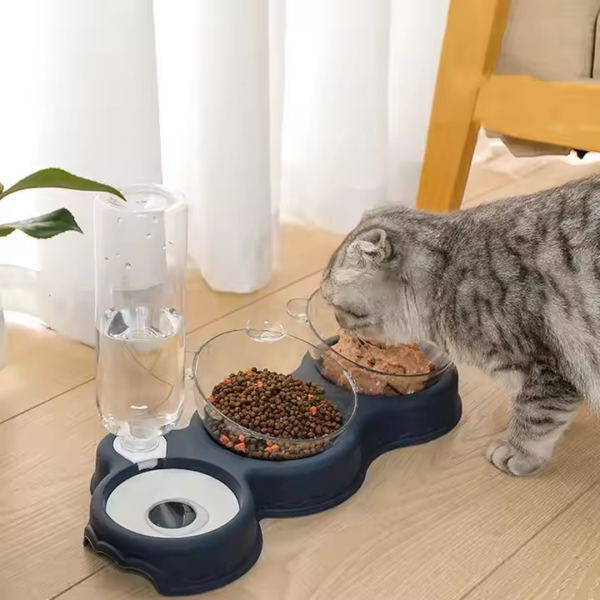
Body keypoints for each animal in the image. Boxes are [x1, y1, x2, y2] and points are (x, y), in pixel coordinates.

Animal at [324, 175, 600, 478]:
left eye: (335, 305)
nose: (338, 324)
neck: (449, 281)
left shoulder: (547, 367)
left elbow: (536, 418)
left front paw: (518, 452)